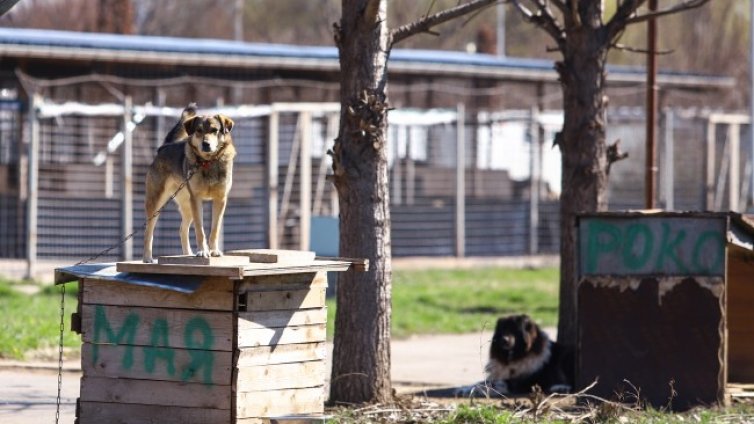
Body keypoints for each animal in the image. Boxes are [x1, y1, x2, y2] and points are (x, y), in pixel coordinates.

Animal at [141, 103, 234, 262]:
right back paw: (147, 258)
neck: (207, 162)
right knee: (149, 231)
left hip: (187, 205)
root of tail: (165, 146)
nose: (206, 144)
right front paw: (202, 252)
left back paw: (186, 253)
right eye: (199, 131)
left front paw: (214, 251)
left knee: (182, 229)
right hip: (156, 203)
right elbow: (200, 230)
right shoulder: (196, 199)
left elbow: (214, 229)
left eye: (215, 130)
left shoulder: (220, 199)